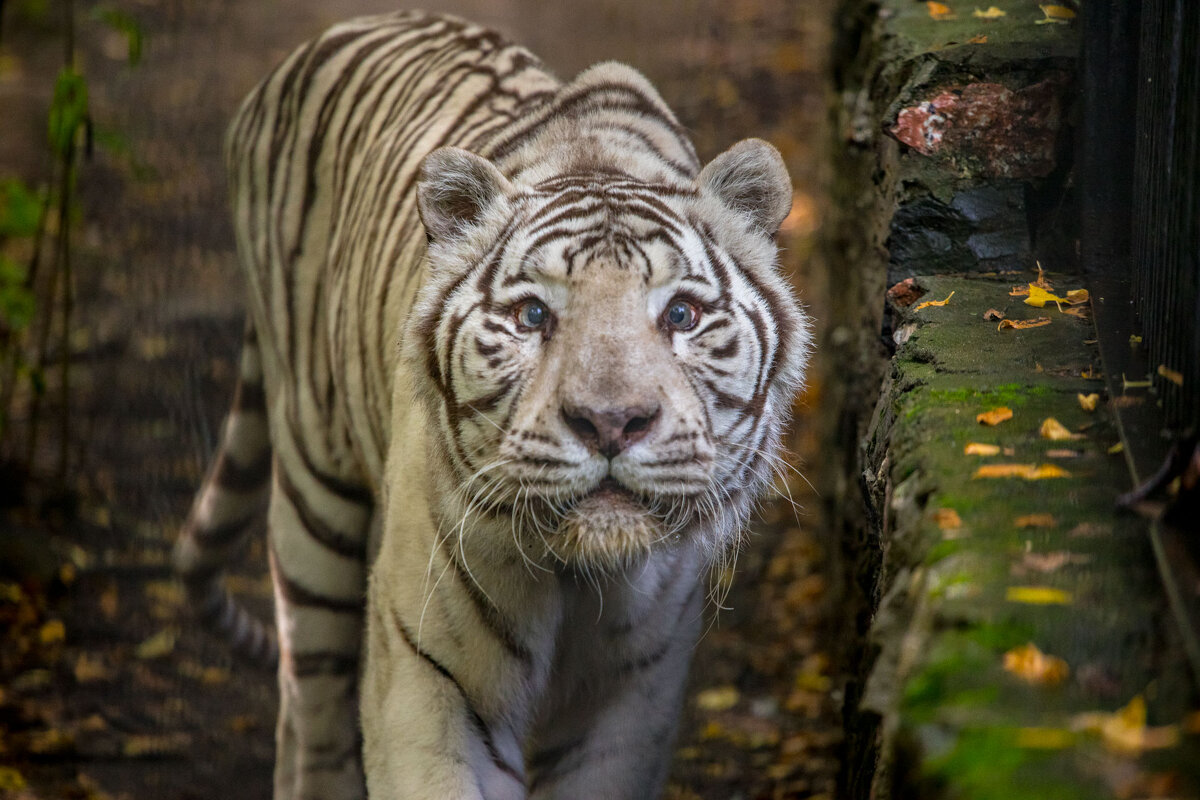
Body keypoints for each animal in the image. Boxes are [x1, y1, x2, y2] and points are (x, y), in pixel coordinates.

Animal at [174, 10, 811, 800]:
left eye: (682, 315)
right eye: (533, 316)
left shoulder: (632, 701)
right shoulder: (429, 678)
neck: (583, 577)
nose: (611, 423)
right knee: (310, 703)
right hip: (312, 496)